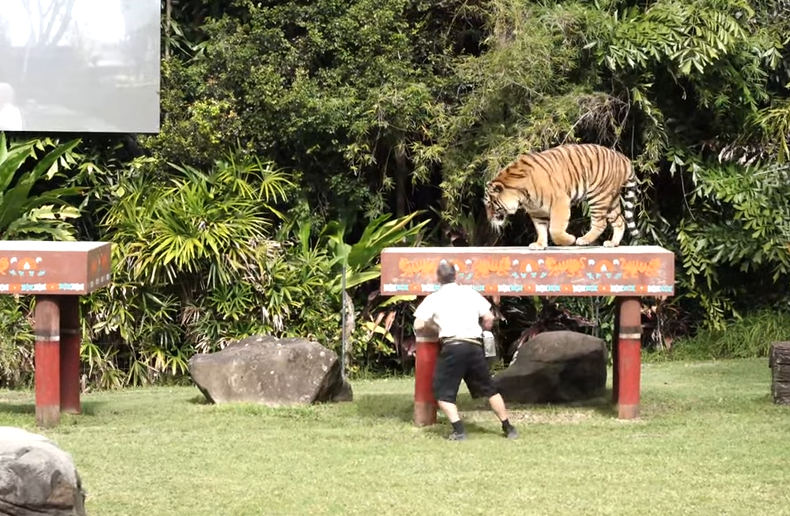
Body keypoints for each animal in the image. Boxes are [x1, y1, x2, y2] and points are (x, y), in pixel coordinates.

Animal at [482, 143, 644, 250]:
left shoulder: (560, 202)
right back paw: (612, 243)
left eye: (490, 204)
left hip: (599, 196)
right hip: (611, 200)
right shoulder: (536, 211)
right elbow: (541, 229)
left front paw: (569, 240)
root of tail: (624, 158)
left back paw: (583, 240)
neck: (522, 196)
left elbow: (555, 229)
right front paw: (540, 244)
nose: (489, 219)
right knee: (620, 221)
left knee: (601, 222)